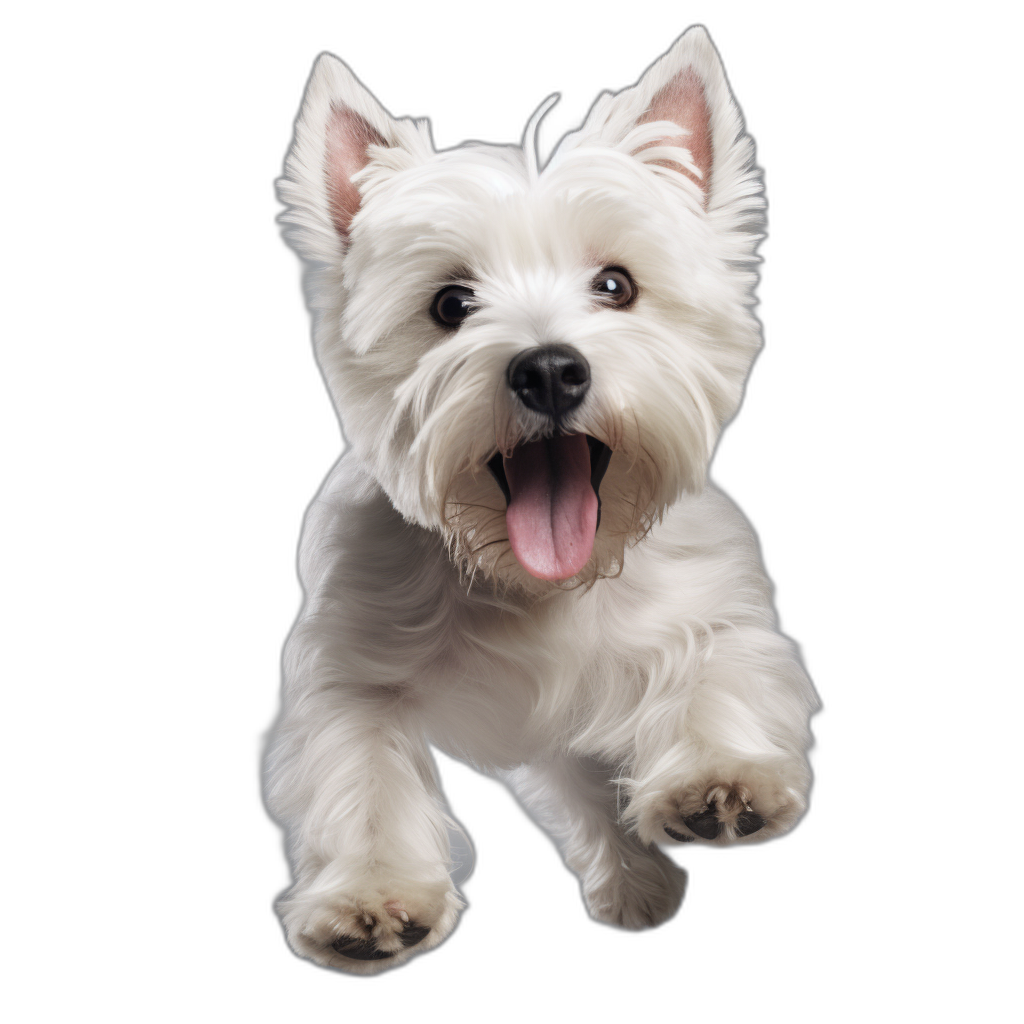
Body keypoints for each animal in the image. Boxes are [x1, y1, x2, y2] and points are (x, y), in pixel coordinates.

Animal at [266, 28, 823, 970]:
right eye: (451, 303)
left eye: (616, 285)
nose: (552, 369)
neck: (537, 586)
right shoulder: (347, 668)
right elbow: (362, 772)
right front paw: (372, 897)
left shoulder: (713, 601)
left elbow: (722, 666)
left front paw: (723, 779)